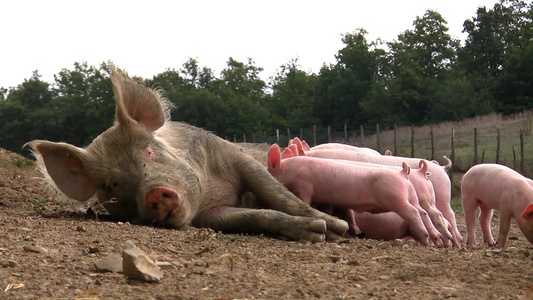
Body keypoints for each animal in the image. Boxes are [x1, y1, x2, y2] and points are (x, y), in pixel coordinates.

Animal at [27, 67, 348, 241]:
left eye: (149, 151)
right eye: (113, 184)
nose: (154, 193)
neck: (210, 191)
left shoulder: (232, 155)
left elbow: (278, 194)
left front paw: (332, 229)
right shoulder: (210, 215)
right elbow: (257, 215)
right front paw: (319, 231)